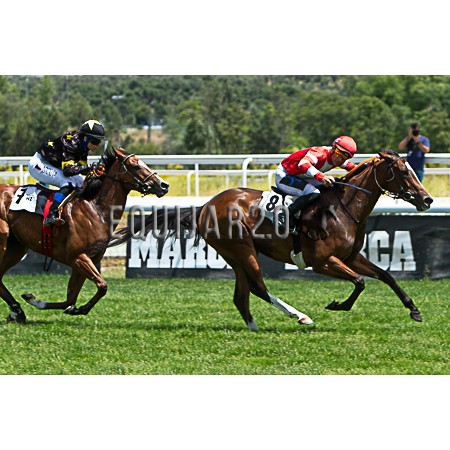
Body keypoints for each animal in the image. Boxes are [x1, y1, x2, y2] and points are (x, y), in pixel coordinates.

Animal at [0, 146, 169, 323]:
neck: (95, 209)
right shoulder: (78, 256)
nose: (163, 185)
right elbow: (102, 286)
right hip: (4, 239)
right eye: (135, 166)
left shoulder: (88, 259)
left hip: (16, 247)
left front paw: (41, 302)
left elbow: (71, 299)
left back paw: (17, 311)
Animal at [111, 150, 433, 331]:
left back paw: (253, 327)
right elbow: (360, 282)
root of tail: (205, 206)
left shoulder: (351, 256)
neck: (344, 208)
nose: (427, 199)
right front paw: (337, 305)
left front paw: (414, 310)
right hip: (243, 249)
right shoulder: (322, 261)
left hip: (235, 255)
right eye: (402, 171)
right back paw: (300, 316)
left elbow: (386, 276)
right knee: (258, 288)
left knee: (242, 295)